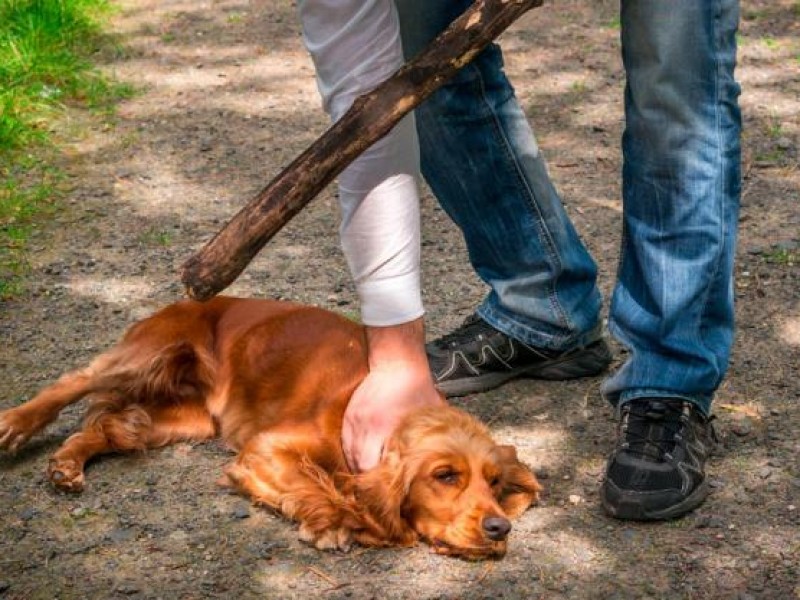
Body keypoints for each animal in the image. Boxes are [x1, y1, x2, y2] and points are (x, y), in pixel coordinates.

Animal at [0, 298, 540, 560]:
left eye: (495, 483)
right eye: (445, 476)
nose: (500, 528)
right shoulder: (265, 449)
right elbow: (314, 483)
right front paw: (336, 522)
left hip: (187, 418)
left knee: (114, 425)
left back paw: (66, 465)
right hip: (149, 352)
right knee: (75, 381)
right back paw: (15, 424)